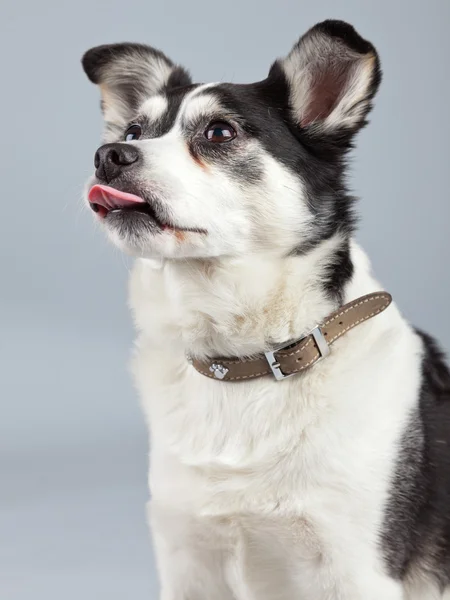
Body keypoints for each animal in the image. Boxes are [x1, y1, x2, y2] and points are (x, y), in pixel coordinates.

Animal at [81, 19, 450, 600]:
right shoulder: (188, 565)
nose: (108, 155)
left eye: (219, 133)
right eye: (135, 131)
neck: (247, 360)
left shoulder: (357, 572)